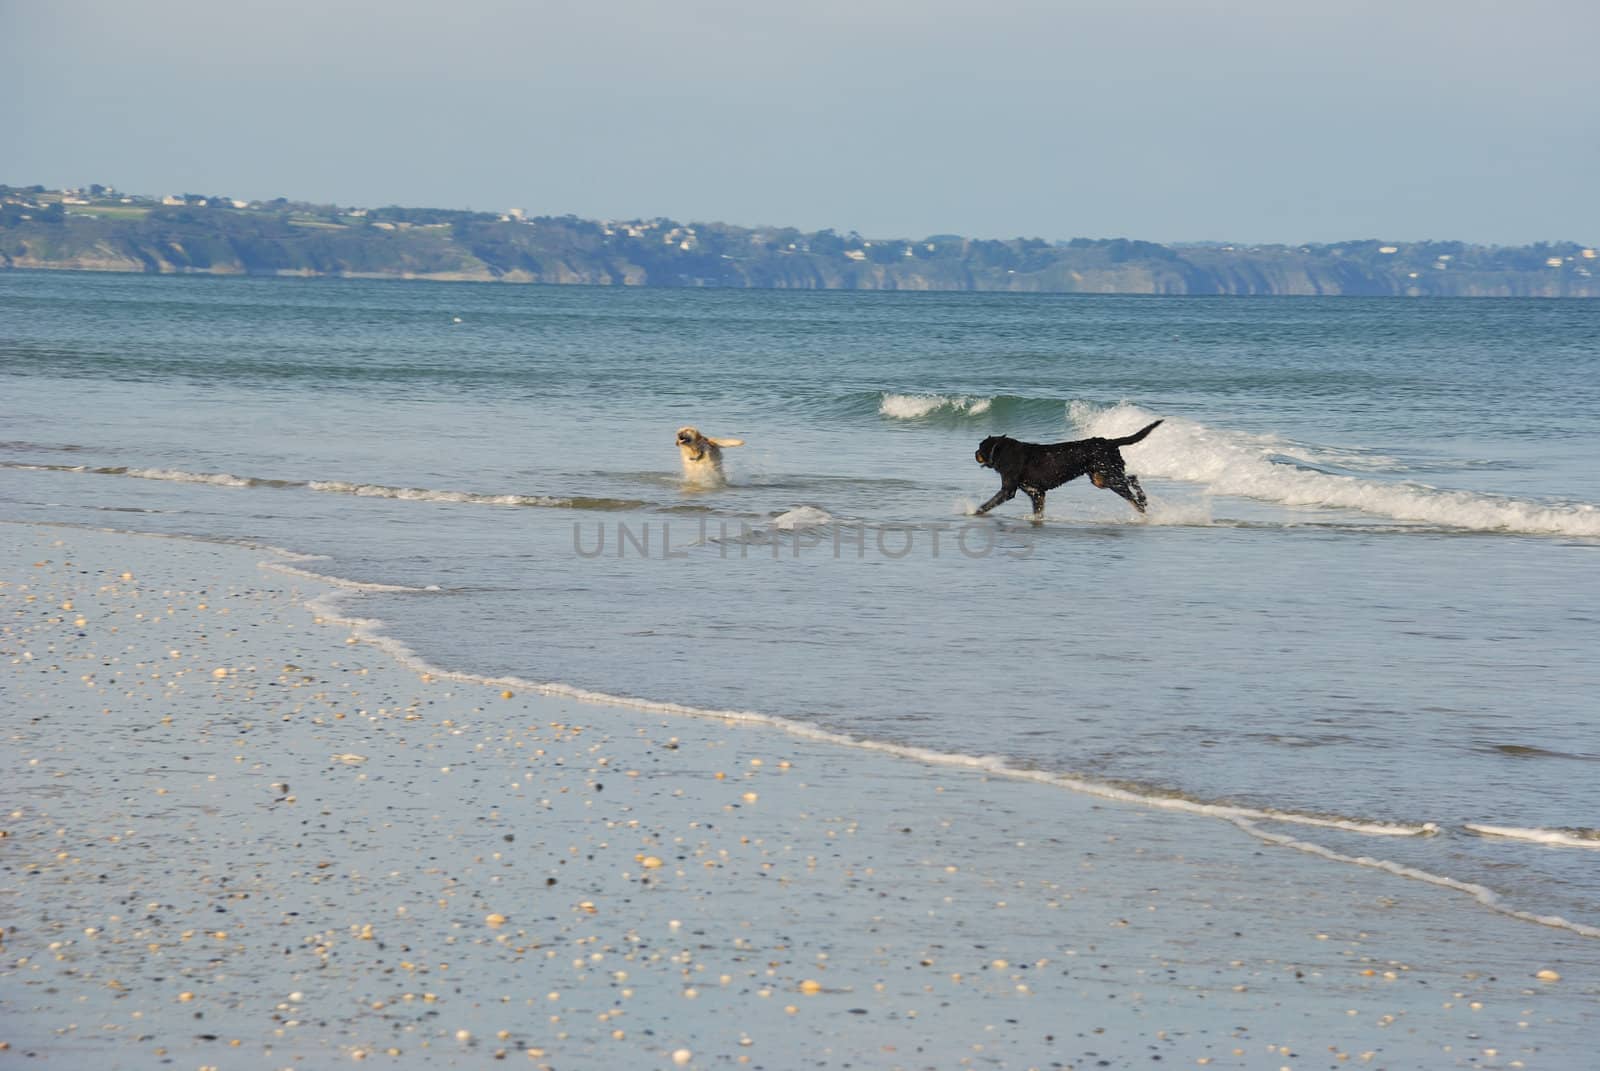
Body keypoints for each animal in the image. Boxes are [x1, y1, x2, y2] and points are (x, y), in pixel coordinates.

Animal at [972, 419, 1164, 515]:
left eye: (980, 447)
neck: (1001, 451)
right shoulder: (1037, 493)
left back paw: (1141, 505)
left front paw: (974, 512)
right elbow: (1037, 513)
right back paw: (1143, 500)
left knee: (1131, 491)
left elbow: (987, 505)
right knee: (1132, 477)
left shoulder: (1008, 490)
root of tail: (1110, 442)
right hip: (1101, 478)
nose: (974, 453)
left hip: (1109, 476)